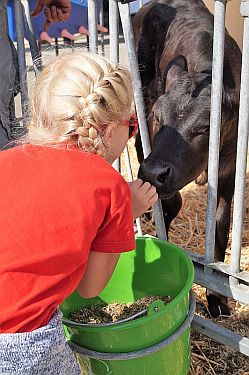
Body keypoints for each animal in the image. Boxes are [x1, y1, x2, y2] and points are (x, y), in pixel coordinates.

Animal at [133, 0, 242, 318]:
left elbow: (219, 230)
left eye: (205, 127)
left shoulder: (229, 172)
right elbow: (172, 201)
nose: (153, 172)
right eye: (160, 117)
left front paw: (218, 300)